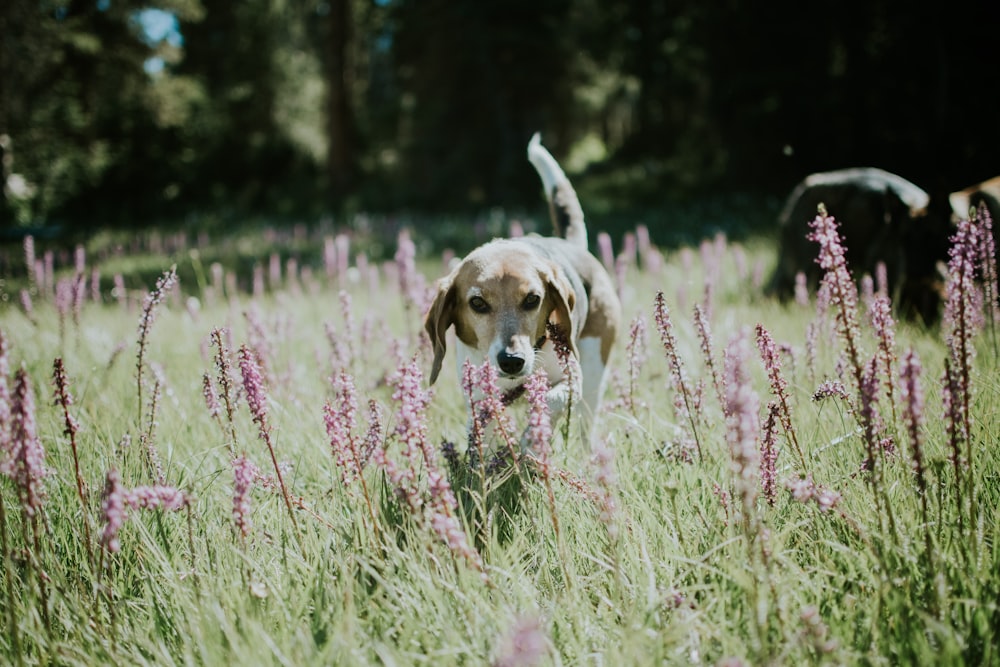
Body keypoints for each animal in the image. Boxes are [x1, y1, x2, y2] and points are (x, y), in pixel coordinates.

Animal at [424, 133, 624, 440]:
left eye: (532, 299)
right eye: (477, 303)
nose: (511, 361)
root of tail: (572, 245)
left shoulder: (571, 381)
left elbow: (547, 401)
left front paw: (531, 440)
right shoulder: (481, 400)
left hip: (592, 373)